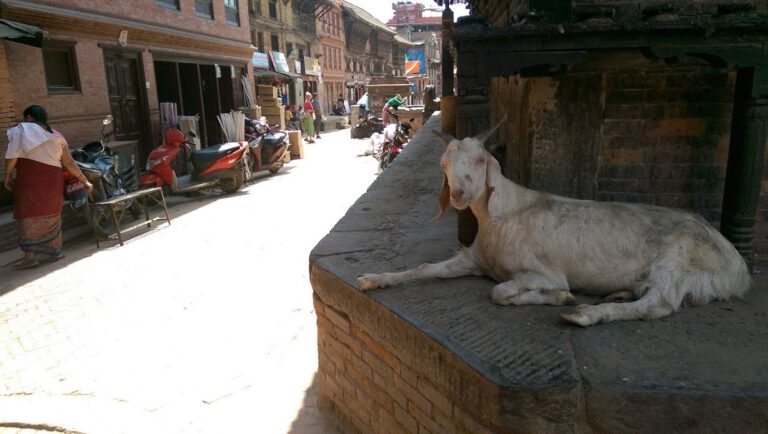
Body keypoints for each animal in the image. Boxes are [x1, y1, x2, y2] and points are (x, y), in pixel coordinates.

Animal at [356, 120, 751, 326]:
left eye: (481, 160)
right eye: (444, 164)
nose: (459, 193)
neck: (502, 216)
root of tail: (738, 267)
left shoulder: (543, 272)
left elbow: (501, 292)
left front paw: (561, 297)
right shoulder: (472, 259)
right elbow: (423, 268)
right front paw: (374, 279)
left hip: (679, 260)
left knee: (659, 304)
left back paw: (586, 313)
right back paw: (621, 292)